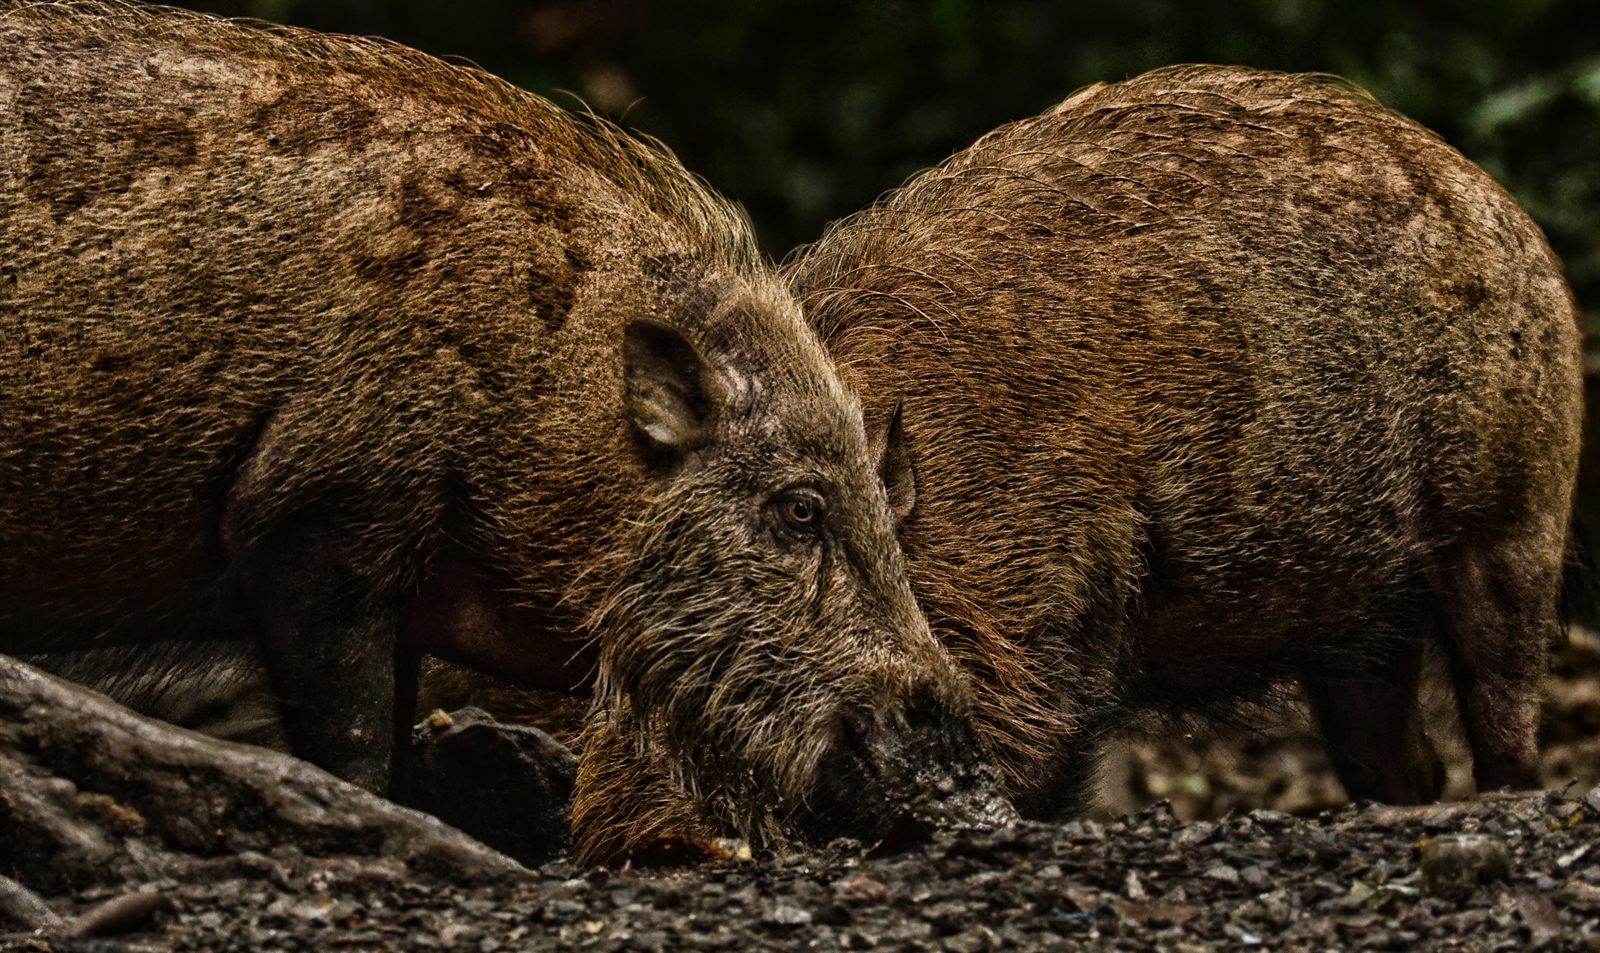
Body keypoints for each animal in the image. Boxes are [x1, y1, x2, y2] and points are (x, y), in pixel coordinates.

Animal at [0, 1, 982, 859]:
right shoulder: (315, 518)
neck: (543, 384)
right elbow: (355, 747)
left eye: (886, 516)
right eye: (800, 510)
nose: (957, 739)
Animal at [781, 65, 1583, 819]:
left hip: (1515, 506)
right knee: (1400, 761)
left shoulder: (1061, 584)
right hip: (1358, 613)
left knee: (1503, 705)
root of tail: (1503, 205)